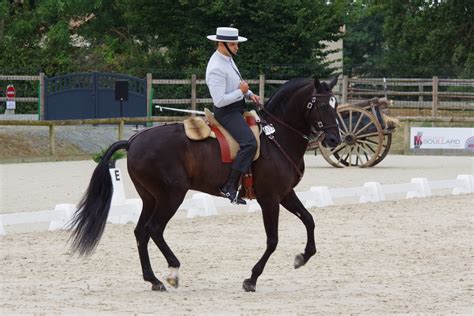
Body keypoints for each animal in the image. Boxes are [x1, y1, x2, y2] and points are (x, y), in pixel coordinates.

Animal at [68, 76, 340, 292]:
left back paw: (154, 280)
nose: (335, 139)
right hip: (171, 196)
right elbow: (272, 240)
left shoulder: (285, 194)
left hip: (150, 198)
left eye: (336, 104)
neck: (277, 137)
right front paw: (251, 279)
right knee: (154, 229)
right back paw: (173, 271)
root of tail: (134, 140)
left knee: (141, 232)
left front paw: (302, 257)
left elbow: (309, 220)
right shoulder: (270, 199)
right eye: (321, 105)